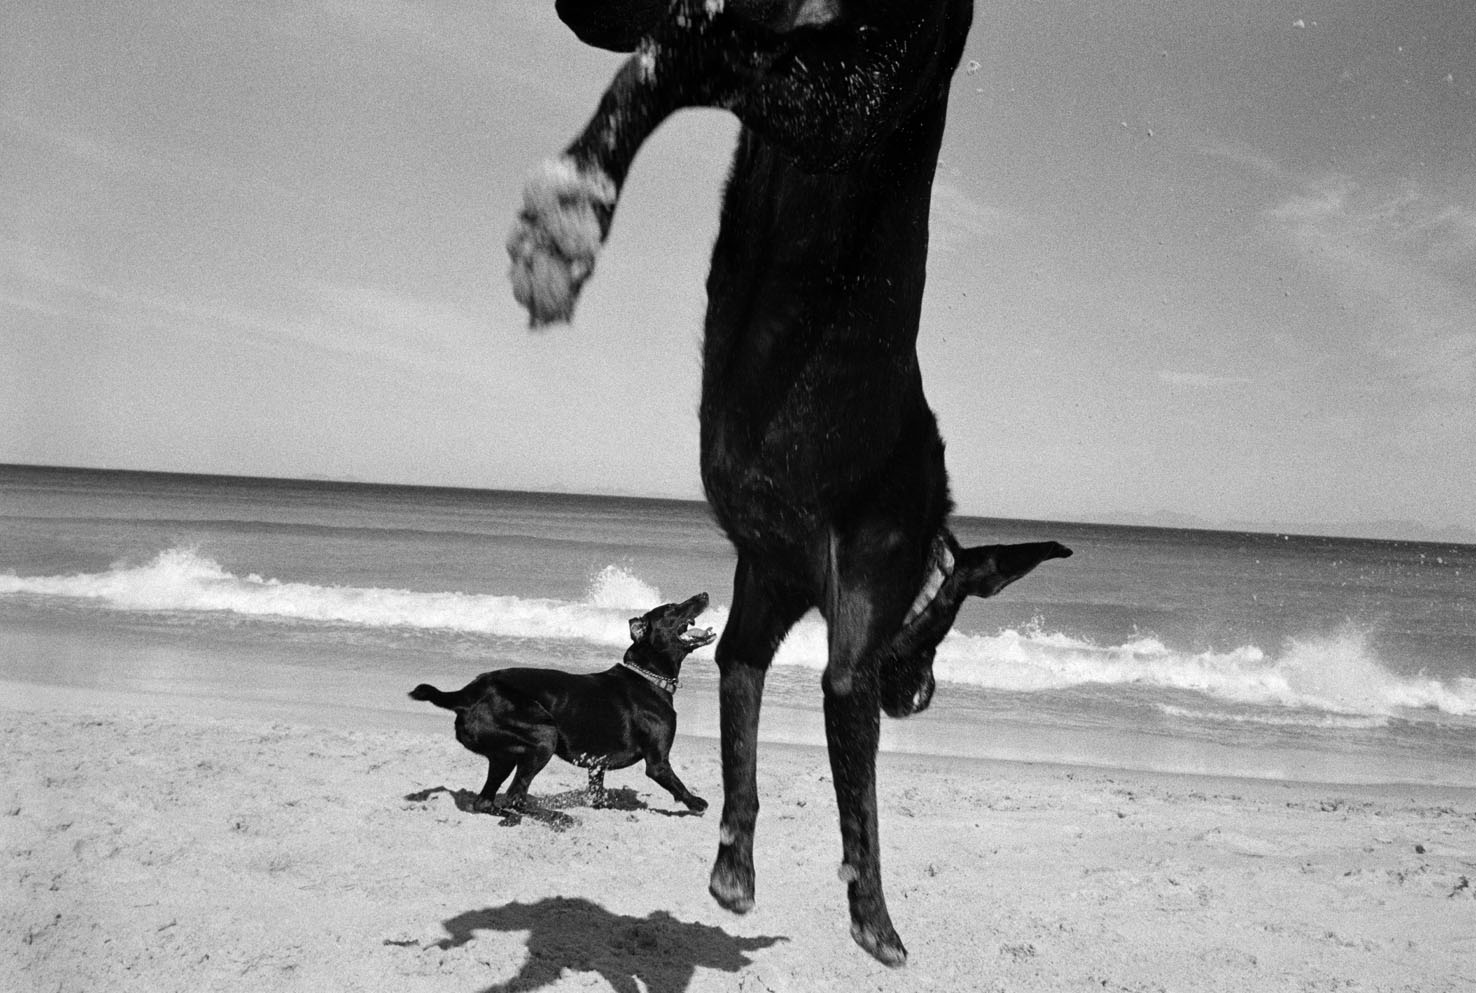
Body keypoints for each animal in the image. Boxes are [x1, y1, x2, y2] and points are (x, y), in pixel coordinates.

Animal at [410, 593, 714, 814]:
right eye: (673, 608)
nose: (704, 594)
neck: (647, 676)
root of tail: (467, 693)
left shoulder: (596, 764)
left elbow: (597, 791)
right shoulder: (658, 763)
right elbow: (677, 785)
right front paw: (696, 803)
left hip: (504, 755)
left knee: (488, 800)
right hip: (544, 736)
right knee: (514, 796)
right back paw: (552, 815)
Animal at [507, 0, 1074, 962]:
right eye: (946, 626)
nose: (919, 697)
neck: (927, 556)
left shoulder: (757, 603)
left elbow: (741, 746)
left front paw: (734, 864)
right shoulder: (855, 639)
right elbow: (862, 811)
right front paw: (875, 918)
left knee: (676, 39)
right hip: (866, 95)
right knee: (693, 58)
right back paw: (567, 222)